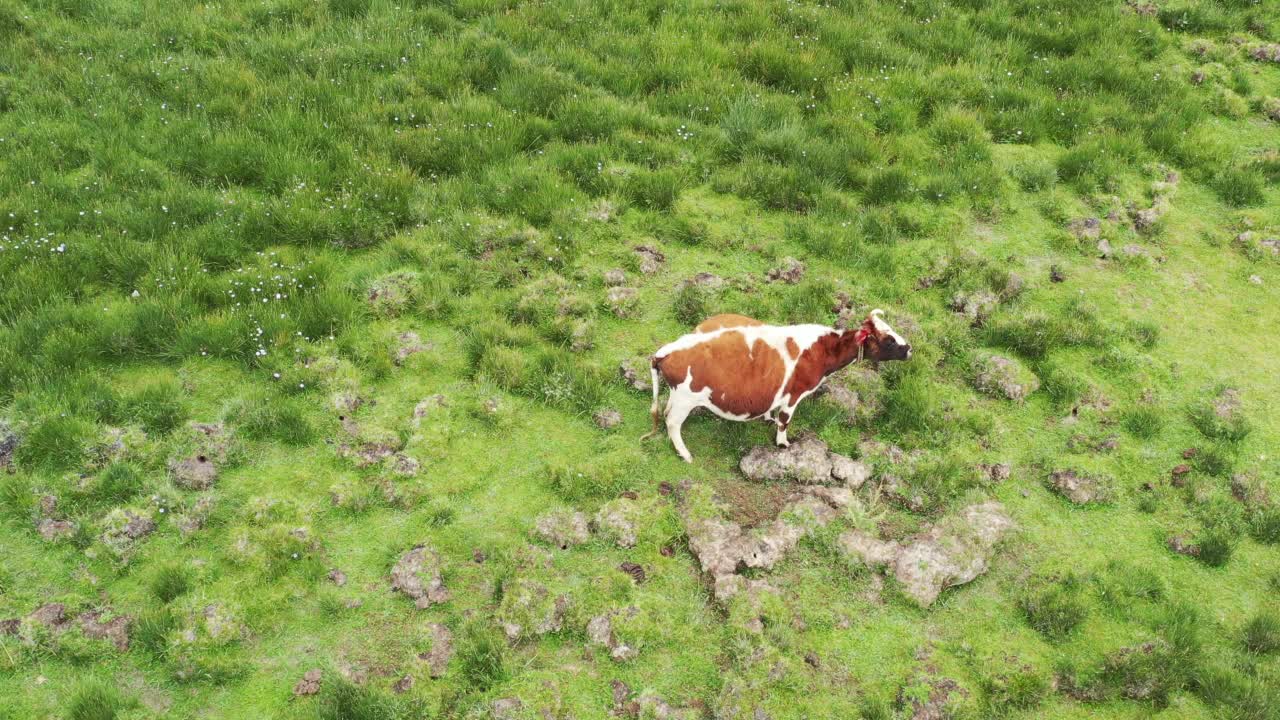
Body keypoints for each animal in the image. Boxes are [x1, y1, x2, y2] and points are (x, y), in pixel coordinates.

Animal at [640, 308, 911, 458]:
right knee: (672, 422)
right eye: (889, 340)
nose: (909, 349)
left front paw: (767, 418)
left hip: (677, 395)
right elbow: (785, 420)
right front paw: (782, 443)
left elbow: (772, 409)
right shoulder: (795, 393)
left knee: (665, 411)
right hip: (685, 398)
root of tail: (666, 350)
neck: (821, 350)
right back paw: (685, 454)